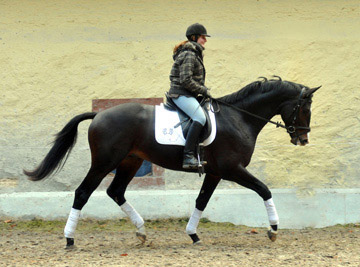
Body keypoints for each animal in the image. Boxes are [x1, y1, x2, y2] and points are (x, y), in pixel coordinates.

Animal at [23, 76, 320, 248]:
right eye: (305, 108)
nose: (303, 139)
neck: (239, 118)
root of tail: (99, 115)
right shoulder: (232, 169)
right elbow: (264, 190)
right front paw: (273, 229)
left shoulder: (215, 173)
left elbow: (202, 201)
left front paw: (193, 234)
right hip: (104, 163)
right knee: (83, 192)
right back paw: (69, 238)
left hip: (129, 162)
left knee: (115, 191)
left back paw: (142, 232)